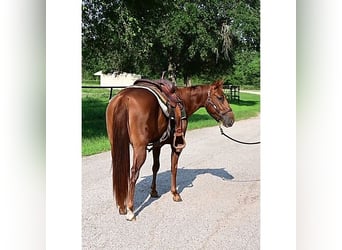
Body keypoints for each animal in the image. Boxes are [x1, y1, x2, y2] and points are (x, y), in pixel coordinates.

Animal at [105, 79, 234, 220]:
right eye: (220, 97)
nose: (231, 119)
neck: (183, 101)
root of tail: (124, 98)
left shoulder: (157, 145)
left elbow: (155, 167)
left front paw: (154, 191)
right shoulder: (176, 145)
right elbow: (174, 168)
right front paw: (175, 194)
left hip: (116, 145)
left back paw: (122, 207)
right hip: (140, 149)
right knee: (133, 174)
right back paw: (130, 210)